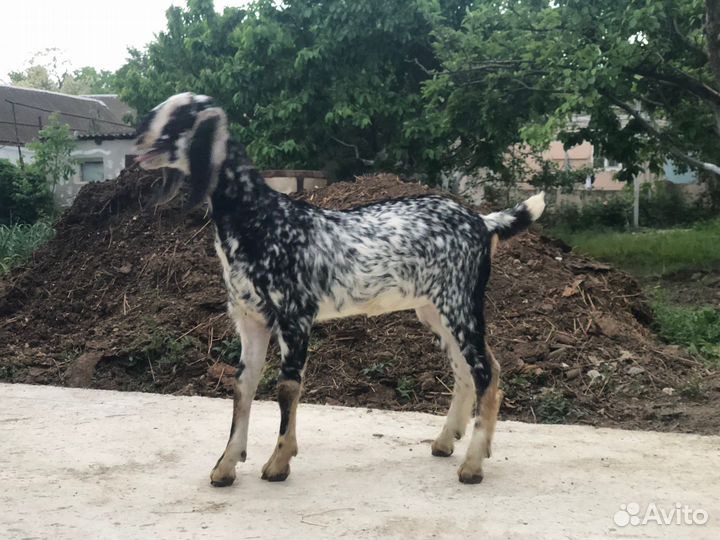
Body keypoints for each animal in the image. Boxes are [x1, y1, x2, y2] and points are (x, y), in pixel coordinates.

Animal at [134, 93, 545, 486]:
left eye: (179, 115)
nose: (137, 139)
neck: (261, 219)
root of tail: (483, 222)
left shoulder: (295, 316)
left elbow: (286, 387)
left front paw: (279, 462)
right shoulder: (250, 320)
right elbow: (242, 386)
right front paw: (225, 466)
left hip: (459, 304)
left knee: (484, 372)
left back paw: (472, 465)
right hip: (434, 309)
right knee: (469, 368)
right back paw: (449, 441)